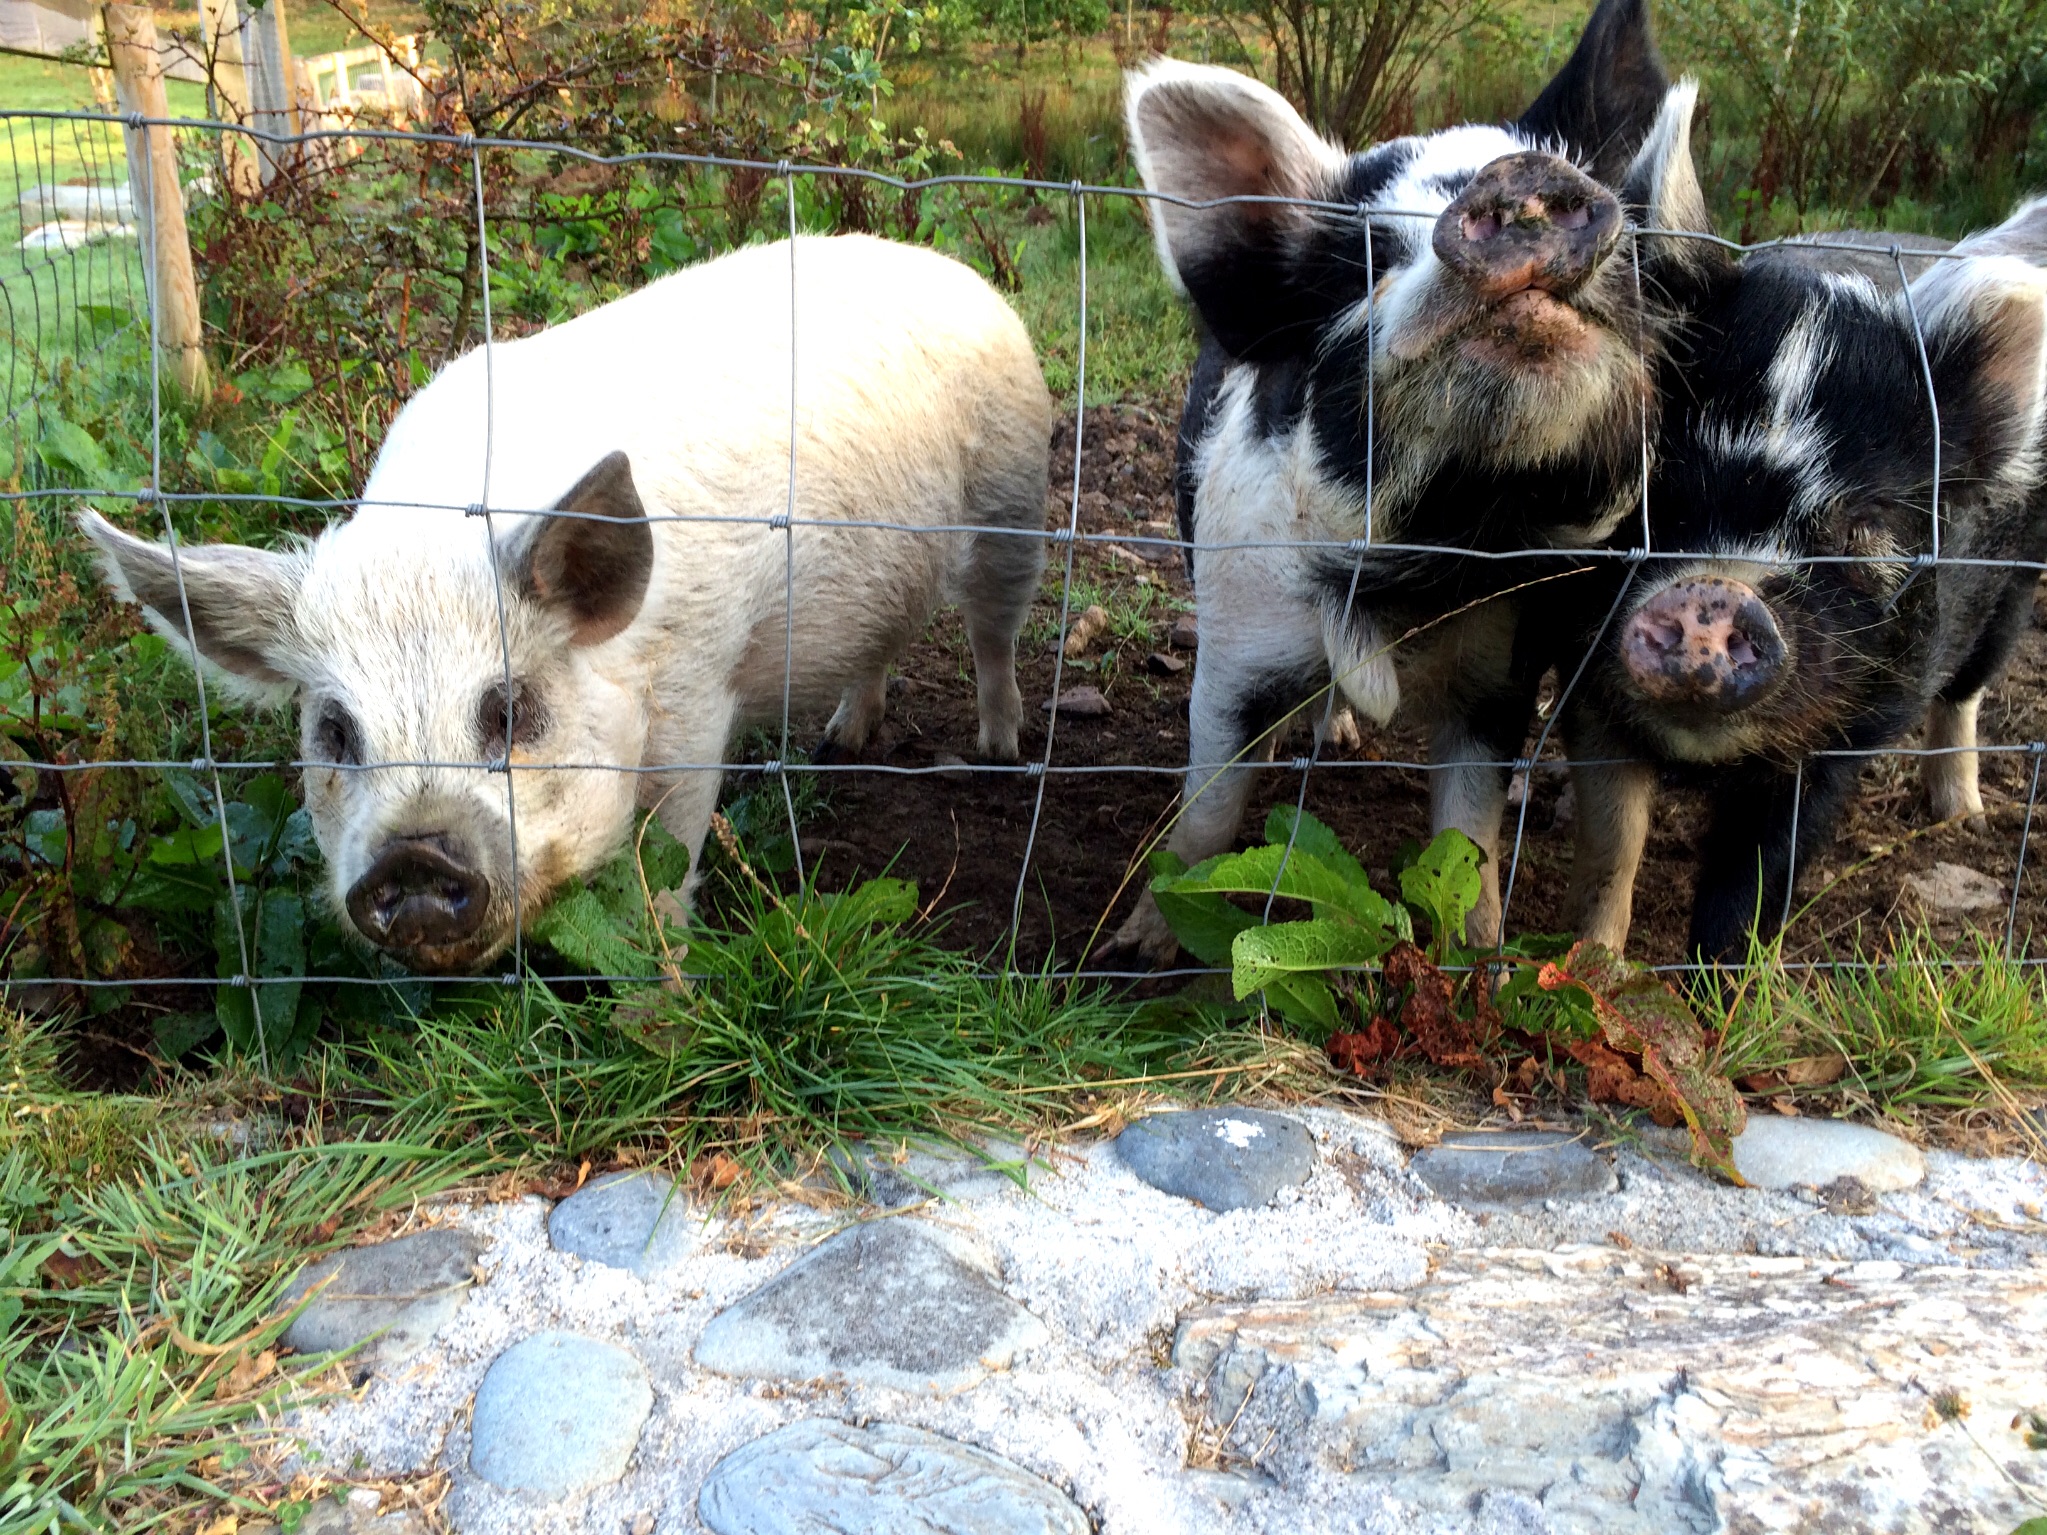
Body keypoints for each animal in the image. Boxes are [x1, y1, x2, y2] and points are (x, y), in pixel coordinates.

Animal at [83, 234, 1053, 973]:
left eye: (511, 709)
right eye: (334, 731)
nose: (414, 855)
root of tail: (949, 267)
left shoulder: (697, 688)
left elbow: (668, 846)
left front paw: (662, 981)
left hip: (1016, 494)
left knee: (992, 628)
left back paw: (999, 750)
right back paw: (841, 740)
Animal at [1112, 0, 1717, 961]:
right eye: (1369, 259)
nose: (1523, 174)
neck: (1440, 556)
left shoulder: (1500, 678)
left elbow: (1467, 831)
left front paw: (1476, 953)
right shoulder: (1237, 641)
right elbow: (1207, 810)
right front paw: (1136, 952)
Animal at [1556, 201, 2047, 961]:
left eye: (1864, 522)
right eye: (1655, 479)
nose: (1713, 594)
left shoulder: (1843, 735)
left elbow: (1756, 877)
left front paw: (1717, 983)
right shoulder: (1585, 679)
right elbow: (1614, 845)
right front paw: (1588, 966)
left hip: (2016, 585)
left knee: (1967, 690)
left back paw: (1963, 816)